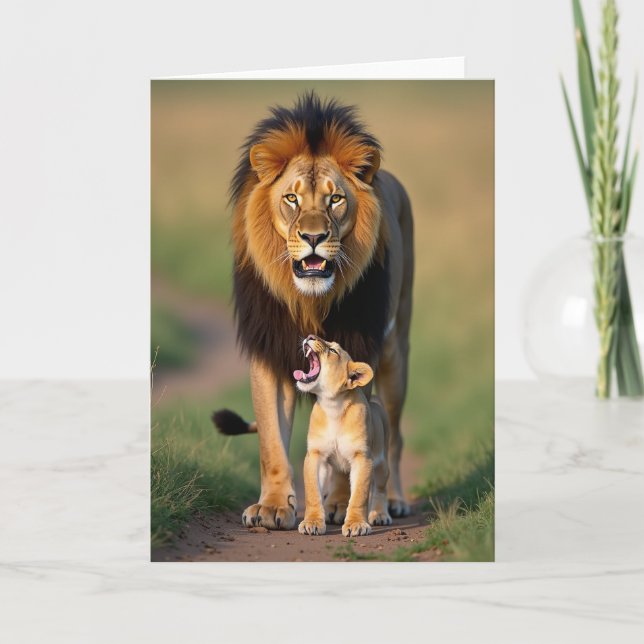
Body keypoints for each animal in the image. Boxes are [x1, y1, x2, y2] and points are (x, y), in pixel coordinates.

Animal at [295, 335, 392, 537]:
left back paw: (379, 514)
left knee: (380, 488)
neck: (332, 405)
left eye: (333, 351)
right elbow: (313, 493)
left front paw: (356, 525)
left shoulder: (362, 458)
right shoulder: (315, 456)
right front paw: (312, 523)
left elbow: (359, 496)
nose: (310, 336)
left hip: (382, 463)